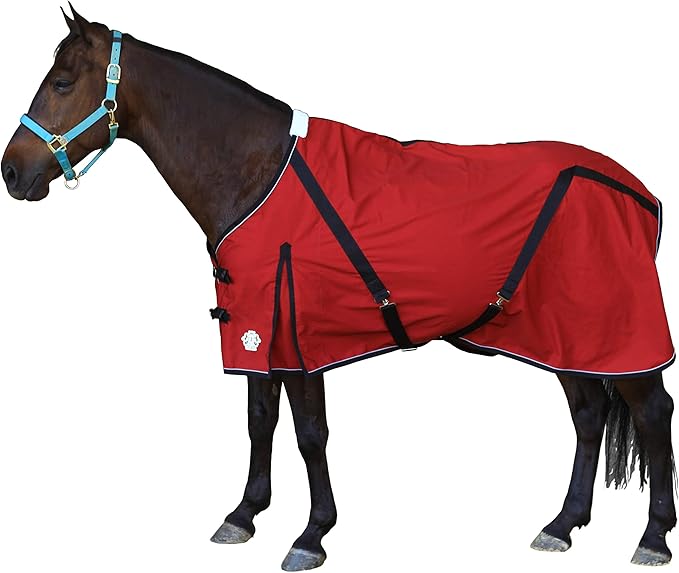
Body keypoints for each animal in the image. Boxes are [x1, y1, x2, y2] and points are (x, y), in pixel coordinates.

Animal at [2, 6, 675, 570]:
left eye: (61, 82)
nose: (12, 172)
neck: (258, 175)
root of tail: (638, 191)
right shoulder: (258, 331)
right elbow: (260, 421)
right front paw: (244, 515)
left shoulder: (301, 336)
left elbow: (309, 434)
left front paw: (311, 535)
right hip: (563, 334)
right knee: (588, 415)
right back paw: (561, 526)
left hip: (616, 334)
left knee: (650, 413)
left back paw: (651, 539)